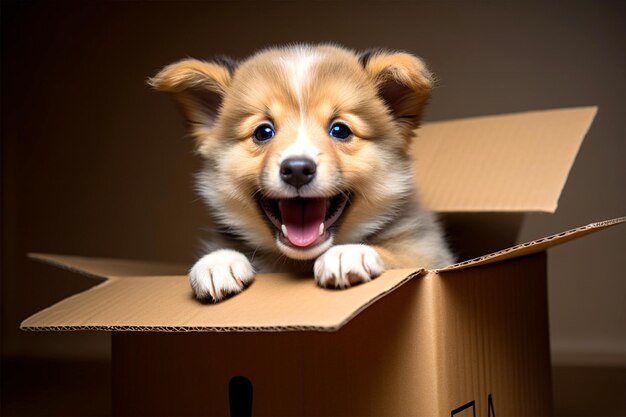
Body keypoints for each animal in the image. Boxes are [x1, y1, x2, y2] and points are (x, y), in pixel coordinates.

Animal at [151, 44, 454, 300]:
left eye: (340, 130)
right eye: (263, 132)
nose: (297, 169)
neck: (300, 262)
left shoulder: (430, 255)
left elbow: (403, 259)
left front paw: (348, 253)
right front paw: (218, 261)